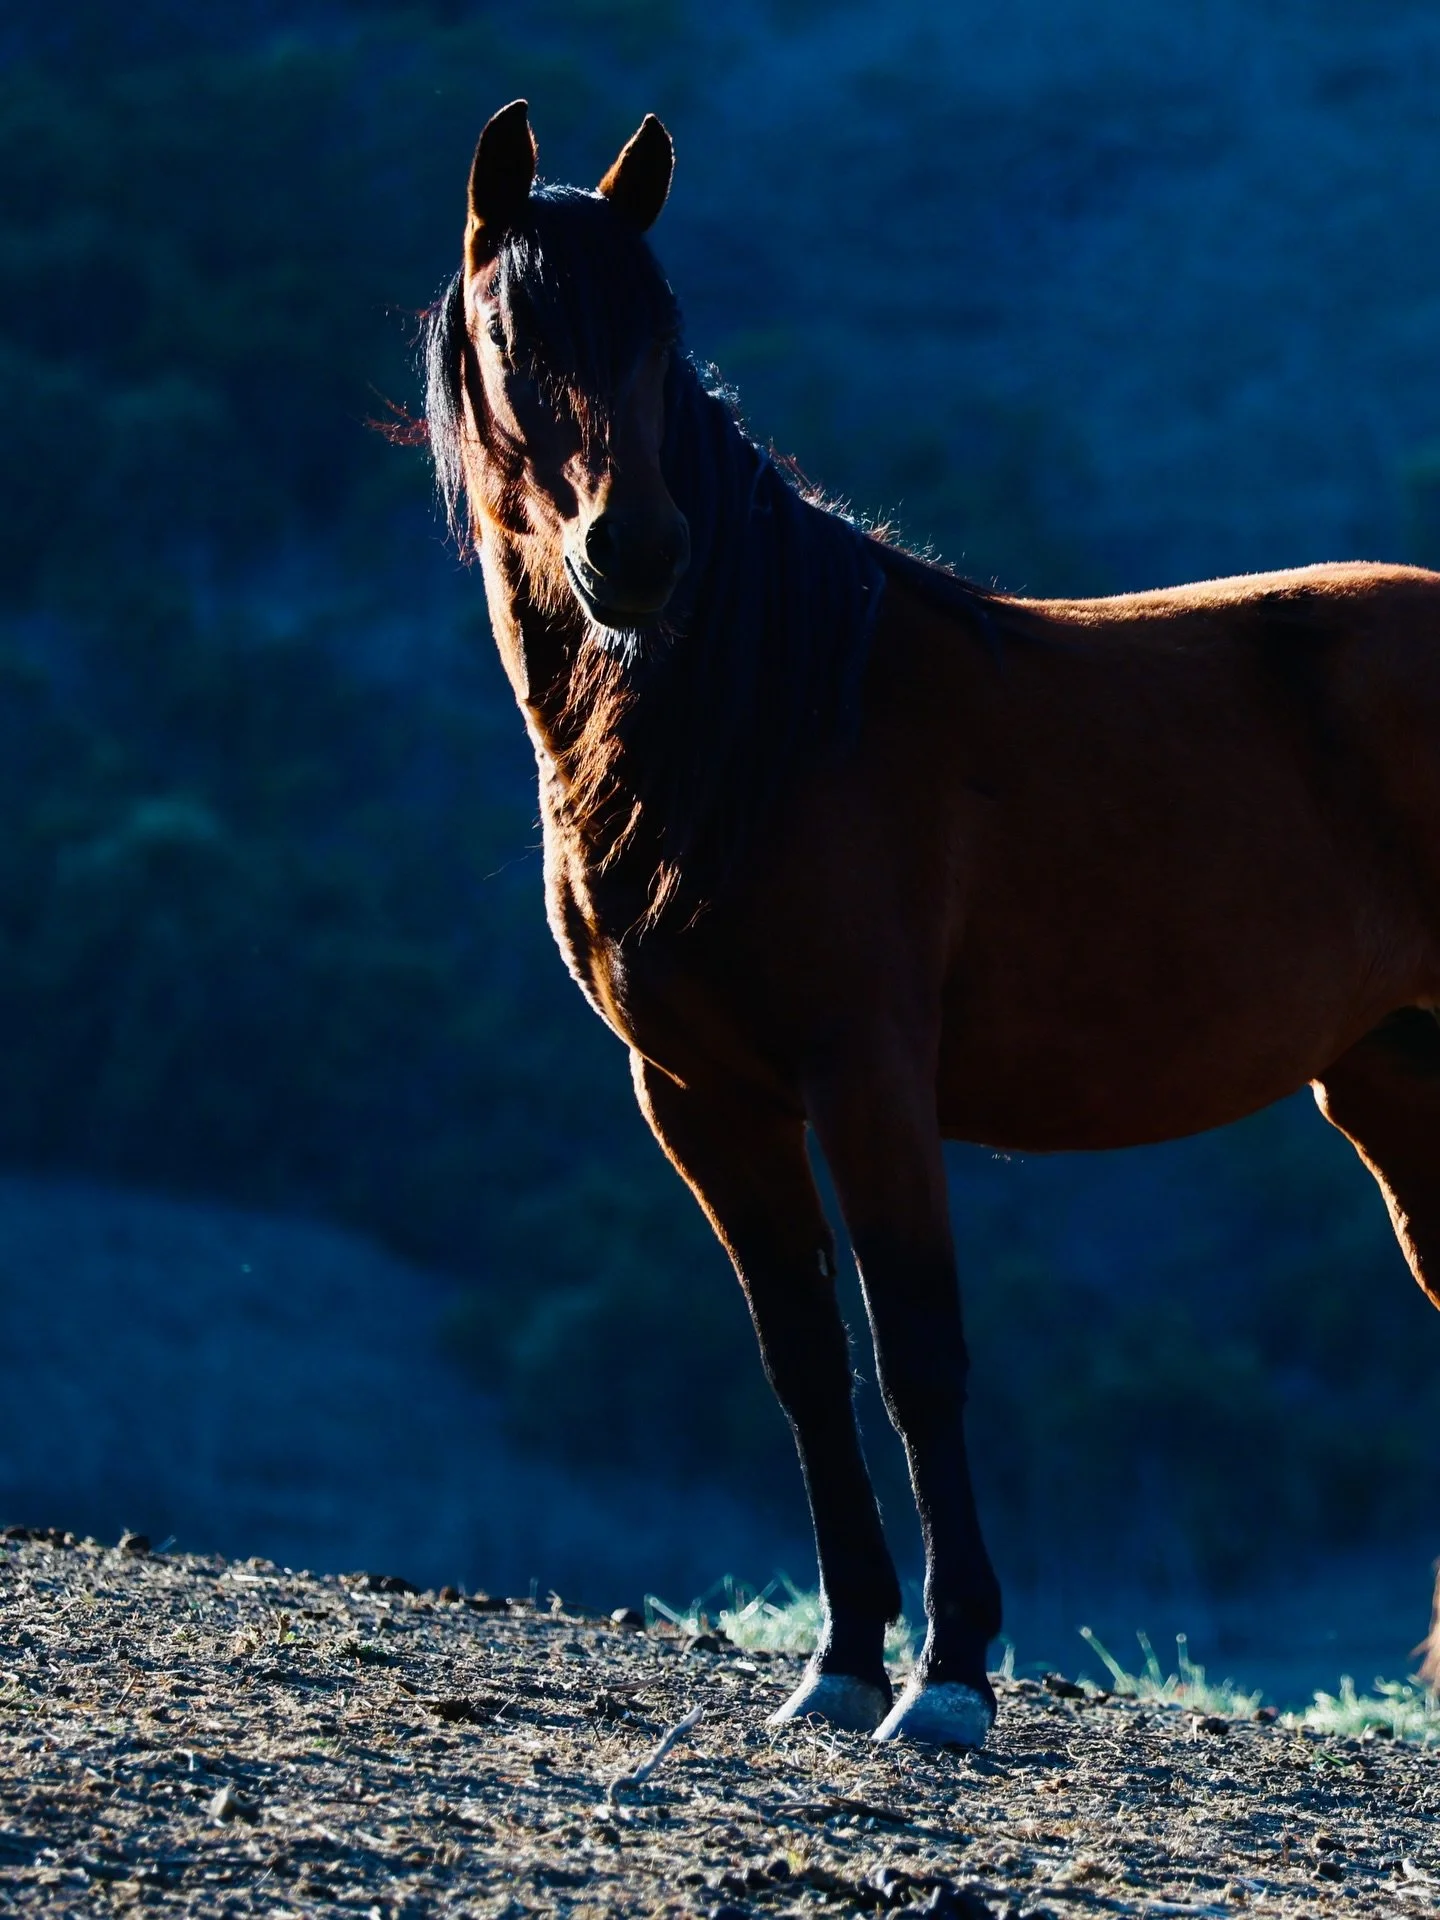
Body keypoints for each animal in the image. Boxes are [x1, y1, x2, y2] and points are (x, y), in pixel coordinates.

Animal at [425, 99, 1440, 1746]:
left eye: (661, 329)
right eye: (518, 328)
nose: (639, 553)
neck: (765, 722)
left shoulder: (870, 1081)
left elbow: (918, 1358)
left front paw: (951, 1676)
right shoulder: (703, 1101)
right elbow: (804, 1365)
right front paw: (841, 1662)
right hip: (1397, 1086)